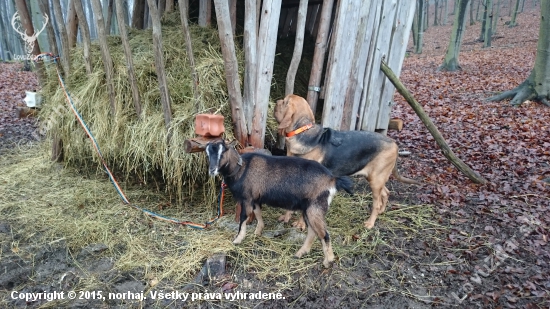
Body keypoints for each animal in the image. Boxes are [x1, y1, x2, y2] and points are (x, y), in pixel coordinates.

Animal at [206, 140, 354, 268]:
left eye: (222, 152)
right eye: (207, 154)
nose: (212, 170)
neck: (241, 168)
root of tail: (332, 180)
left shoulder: (247, 198)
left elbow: (243, 218)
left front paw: (238, 239)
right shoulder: (256, 199)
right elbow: (258, 213)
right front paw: (258, 232)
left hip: (315, 207)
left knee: (324, 234)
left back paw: (328, 261)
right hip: (309, 209)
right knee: (313, 231)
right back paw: (299, 254)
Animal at [276, 94, 422, 229]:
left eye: (284, 102)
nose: (277, 101)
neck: (302, 132)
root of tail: (394, 144)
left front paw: (300, 224)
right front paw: (286, 217)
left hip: (376, 180)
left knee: (377, 202)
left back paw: (370, 223)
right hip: (376, 178)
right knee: (385, 193)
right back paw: (381, 211)